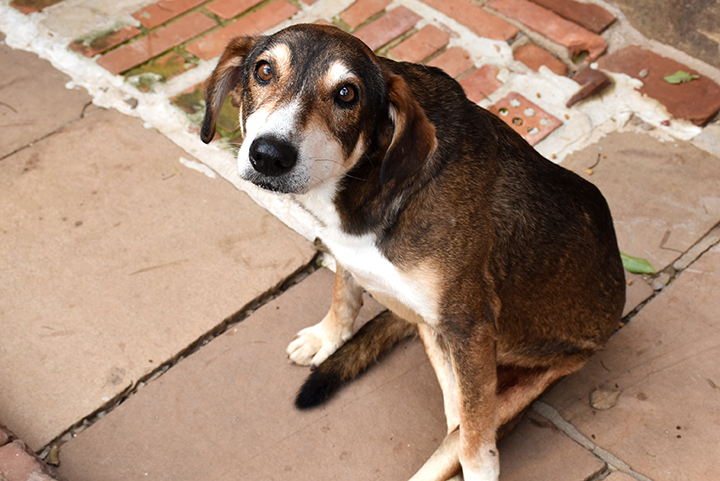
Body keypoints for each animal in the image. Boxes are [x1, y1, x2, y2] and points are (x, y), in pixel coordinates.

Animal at [201, 23, 624, 480]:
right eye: (263, 71)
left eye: (346, 93)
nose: (269, 155)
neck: (371, 182)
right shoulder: (348, 254)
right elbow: (344, 294)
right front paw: (326, 336)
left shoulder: (471, 328)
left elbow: (474, 440)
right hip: (432, 333)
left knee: (461, 432)